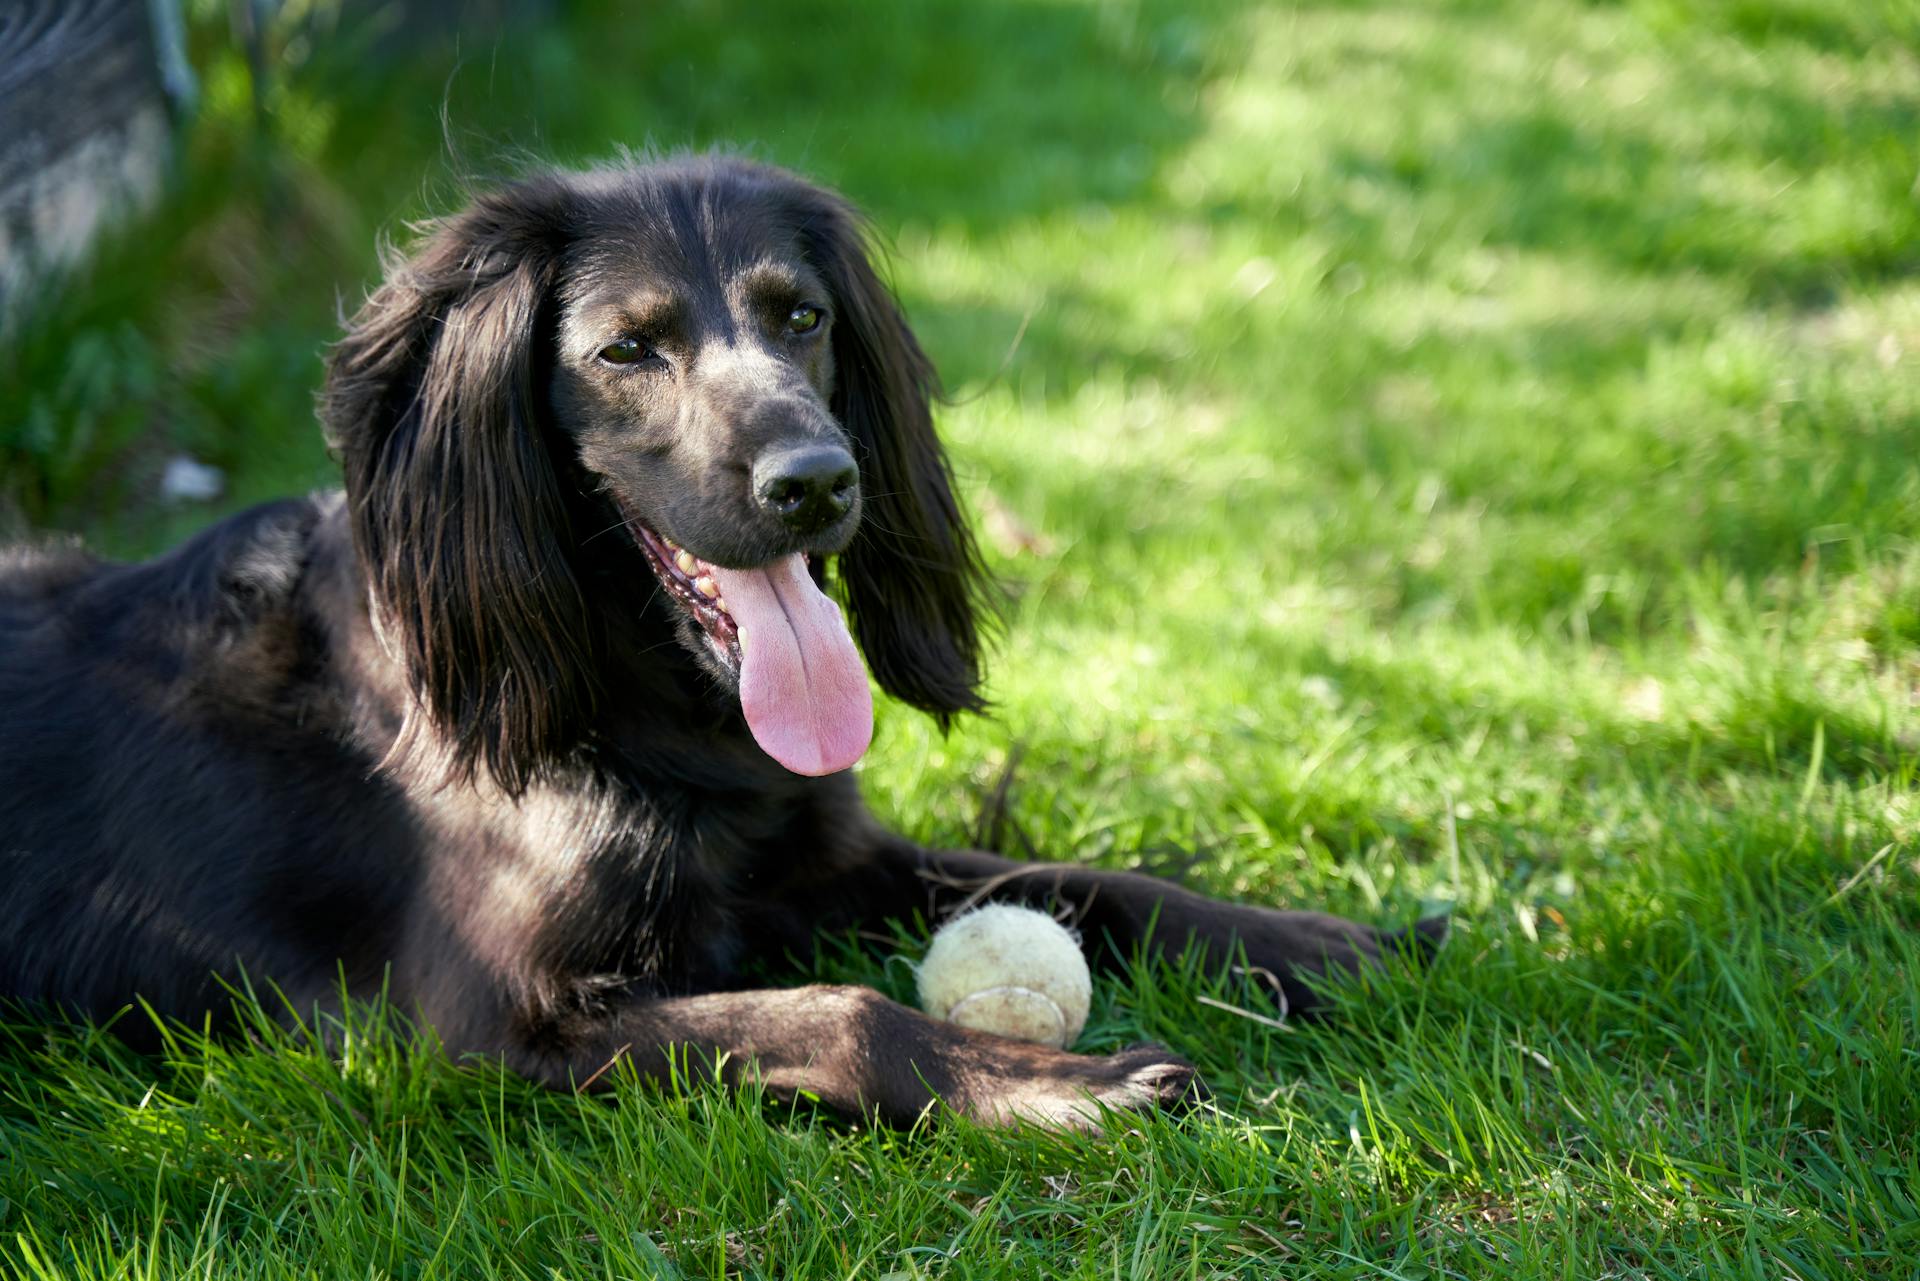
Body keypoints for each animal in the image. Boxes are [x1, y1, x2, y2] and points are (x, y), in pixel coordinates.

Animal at [0, 155, 1443, 1129]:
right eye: (629, 349)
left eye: (803, 315)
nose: (818, 480)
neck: (648, 707)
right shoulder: (486, 1027)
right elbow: (844, 1011)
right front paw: (1057, 1084)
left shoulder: (820, 853)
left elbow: (1077, 878)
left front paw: (1306, 940)